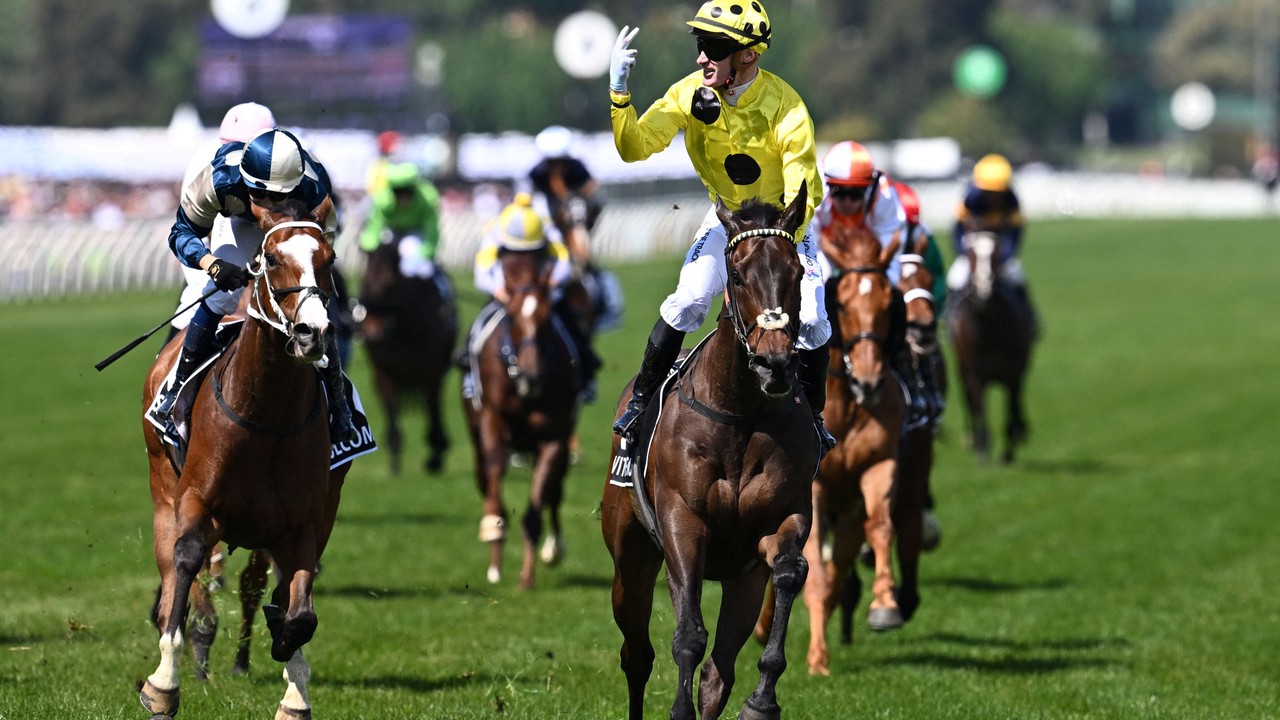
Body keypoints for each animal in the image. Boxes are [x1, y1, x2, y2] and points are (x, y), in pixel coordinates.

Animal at [138, 199, 355, 717]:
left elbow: (299, 611)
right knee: (175, 571)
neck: (267, 415)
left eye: (330, 258)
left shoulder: (303, 522)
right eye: (270, 259)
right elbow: (186, 561)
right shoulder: (196, 501)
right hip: (163, 488)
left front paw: (293, 685)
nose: (313, 333)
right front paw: (164, 681)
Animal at [358, 234, 458, 471]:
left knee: (434, 402)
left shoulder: (432, 370)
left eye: (390, 285)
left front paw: (437, 451)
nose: (372, 331)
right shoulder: (383, 370)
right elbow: (390, 405)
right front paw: (395, 454)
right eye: (365, 282)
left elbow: (432, 404)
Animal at [460, 243, 581, 586]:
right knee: (484, 473)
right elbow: (495, 468)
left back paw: (553, 548)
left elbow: (540, 499)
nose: (530, 376)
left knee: (555, 489)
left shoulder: (555, 436)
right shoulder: (491, 421)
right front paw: (494, 530)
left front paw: (527, 575)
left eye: (546, 316)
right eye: (513, 315)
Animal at [601, 184, 819, 717]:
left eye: (796, 272)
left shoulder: (782, 521)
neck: (740, 410)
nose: (775, 365)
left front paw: (762, 700)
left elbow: (789, 572)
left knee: (718, 674)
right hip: (629, 558)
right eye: (738, 275)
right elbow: (687, 637)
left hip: (742, 582)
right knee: (636, 654)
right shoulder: (683, 524)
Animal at [947, 230, 1034, 466]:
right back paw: (972, 439)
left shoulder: (1014, 372)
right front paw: (983, 450)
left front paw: (1009, 450)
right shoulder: (976, 373)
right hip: (961, 368)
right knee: (969, 401)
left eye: (996, 256)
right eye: (970, 256)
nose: (983, 294)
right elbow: (980, 409)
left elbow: (1013, 409)